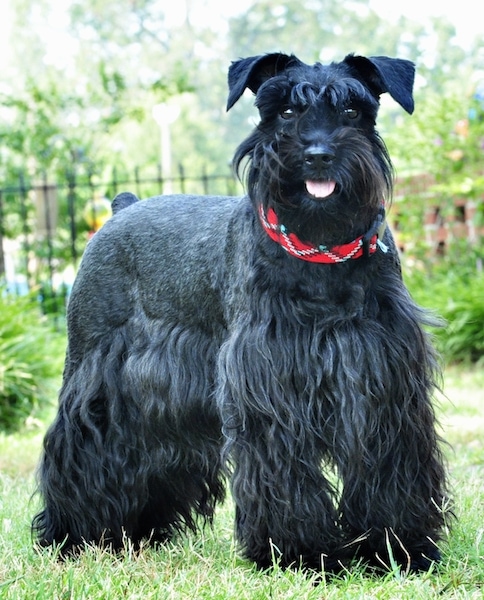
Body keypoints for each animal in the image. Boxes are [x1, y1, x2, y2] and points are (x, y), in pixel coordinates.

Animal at [33, 55, 450, 572]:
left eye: (353, 110)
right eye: (285, 110)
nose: (317, 154)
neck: (321, 252)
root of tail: (119, 208)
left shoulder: (382, 378)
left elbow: (390, 464)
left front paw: (398, 549)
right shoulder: (269, 381)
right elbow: (285, 469)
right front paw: (301, 553)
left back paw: (140, 532)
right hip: (94, 369)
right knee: (79, 446)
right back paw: (74, 536)